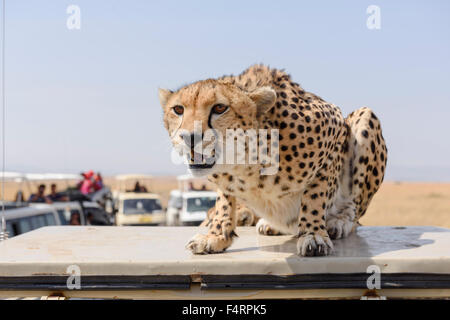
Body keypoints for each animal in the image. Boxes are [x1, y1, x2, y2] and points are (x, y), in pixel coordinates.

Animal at [158, 63, 386, 256]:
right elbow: (224, 201)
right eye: (178, 109)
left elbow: (315, 194)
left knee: (355, 210)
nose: (190, 137)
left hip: (366, 117)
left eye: (220, 108)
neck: (244, 163)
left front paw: (313, 234)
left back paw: (338, 221)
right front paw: (216, 236)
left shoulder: (335, 127)